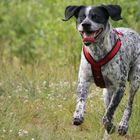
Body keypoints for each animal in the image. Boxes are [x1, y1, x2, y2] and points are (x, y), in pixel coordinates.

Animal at [63, 4, 140, 136]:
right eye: (81, 17)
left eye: (96, 16)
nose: (85, 24)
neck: (97, 51)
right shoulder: (83, 81)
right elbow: (81, 100)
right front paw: (78, 115)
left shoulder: (120, 87)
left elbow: (109, 111)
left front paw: (110, 124)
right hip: (106, 92)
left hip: (135, 80)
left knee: (129, 104)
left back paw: (123, 125)